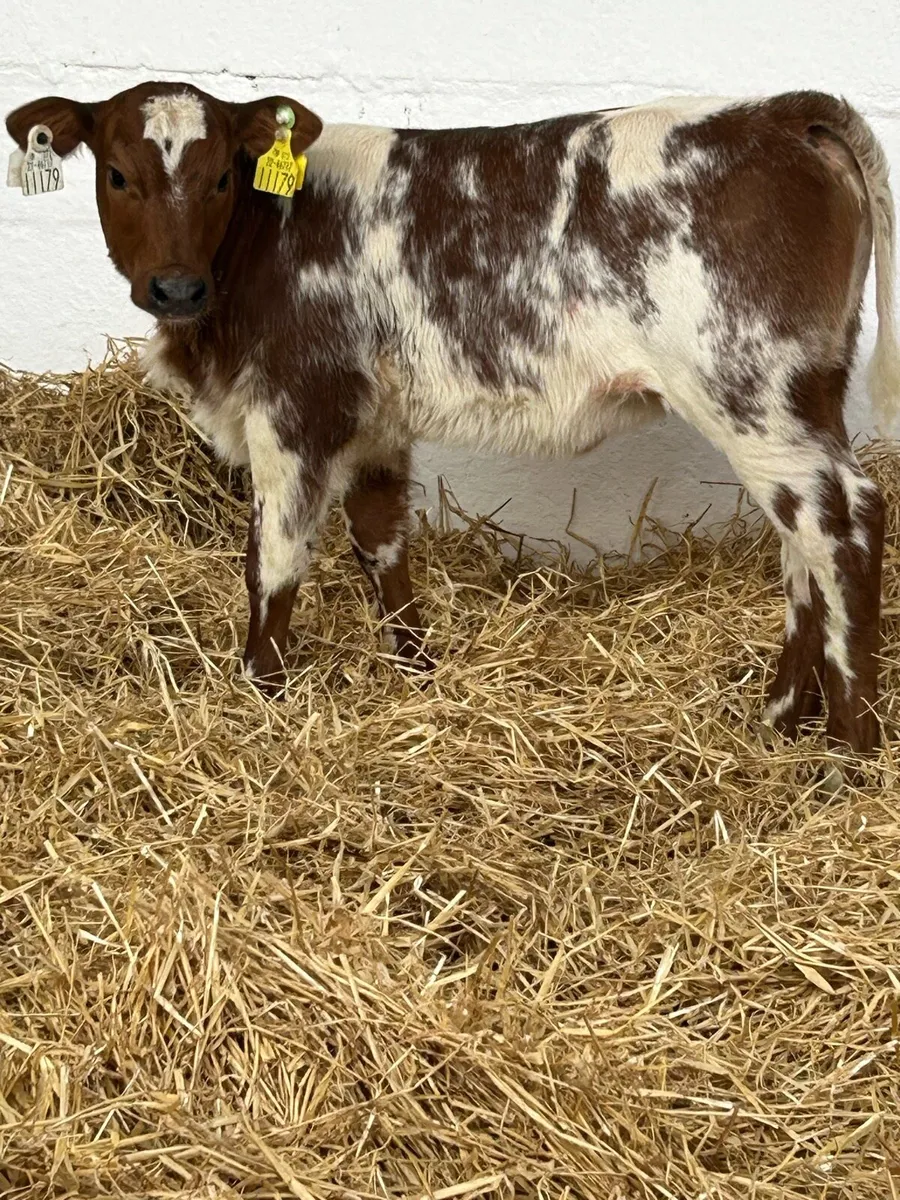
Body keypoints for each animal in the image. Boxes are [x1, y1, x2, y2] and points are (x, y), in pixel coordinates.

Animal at [7, 82, 899, 759]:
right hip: (801, 392)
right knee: (802, 544)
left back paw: (847, 751)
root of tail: (781, 110)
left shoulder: (296, 407)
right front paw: (417, 673)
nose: (175, 287)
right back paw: (779, 718)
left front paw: (260, 690)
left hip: (748, 389)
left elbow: (274, 560)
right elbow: (381, 540)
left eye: (224, 176)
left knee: (844, 520)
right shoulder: (376, 417)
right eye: (116, 174)